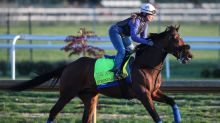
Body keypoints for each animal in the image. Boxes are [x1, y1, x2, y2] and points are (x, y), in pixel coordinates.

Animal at [9, 25, 192, 123]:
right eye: (176, 38)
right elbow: (156, 116)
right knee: (53, 111)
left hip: (89, 96)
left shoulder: (154, 92)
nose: (189, 55)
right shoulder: (143, 94)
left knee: (85, 118)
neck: (145, 65)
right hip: (67, 93)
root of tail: (69, 66)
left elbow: (173, 101)